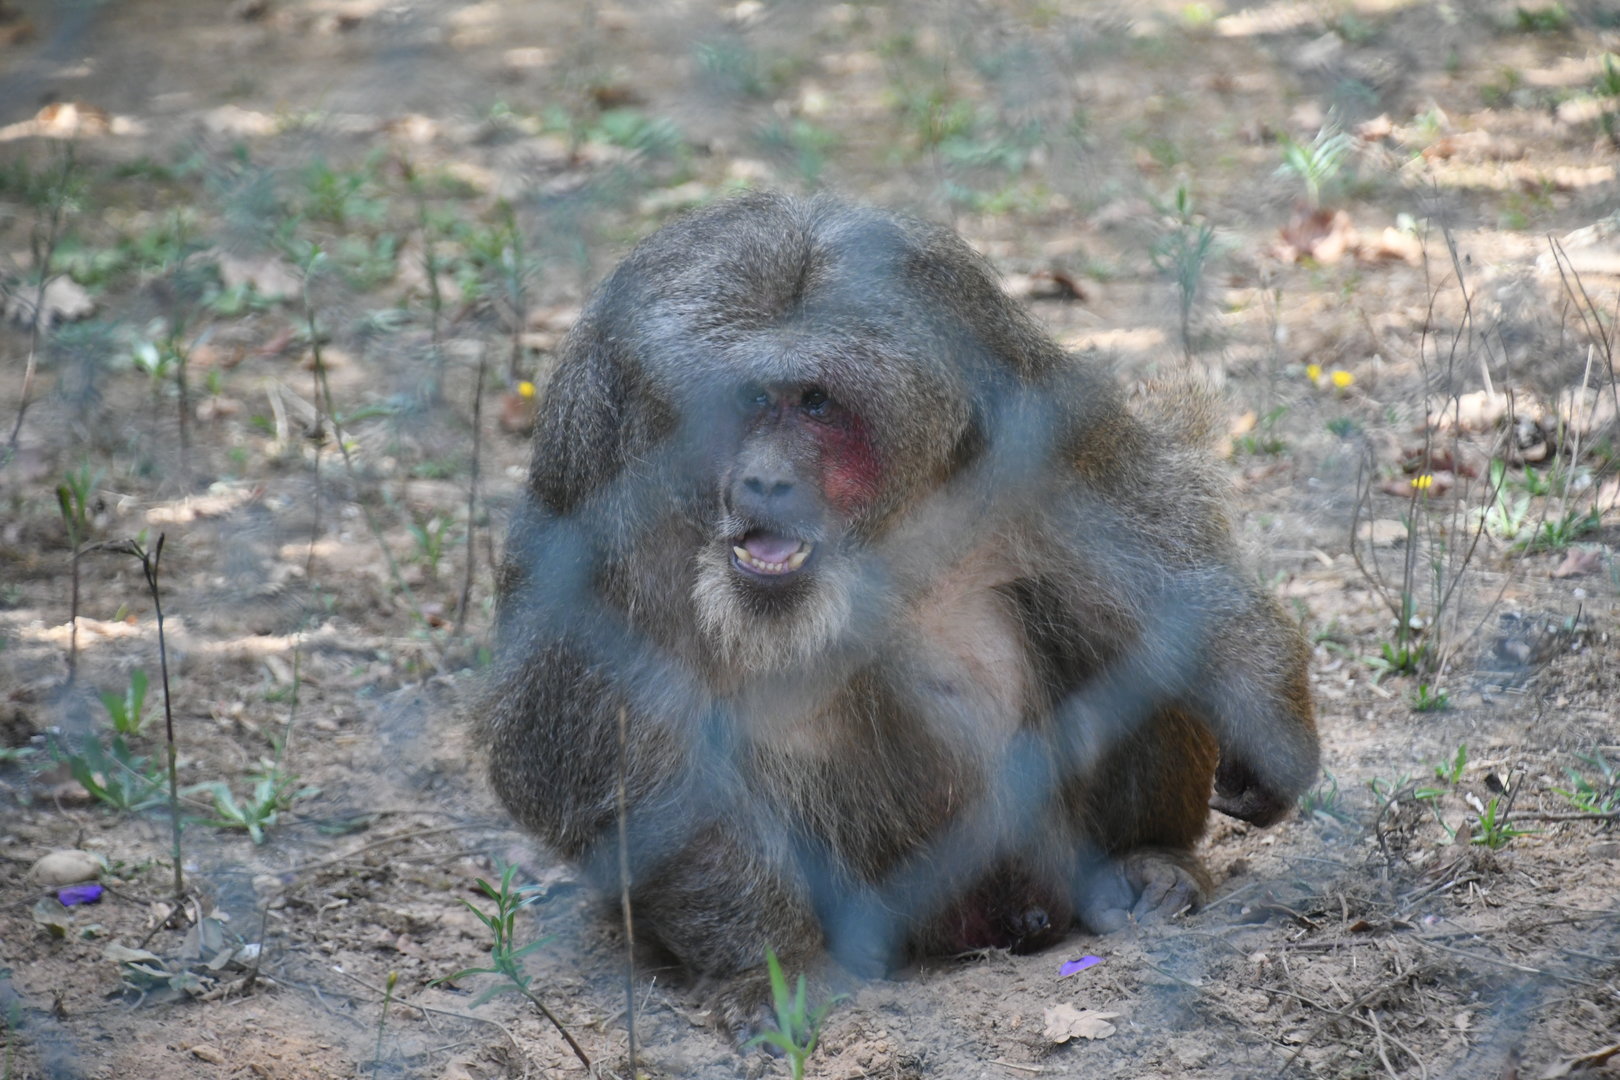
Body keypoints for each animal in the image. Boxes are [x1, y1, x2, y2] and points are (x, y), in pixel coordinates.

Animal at [474, 191, 1318, 1037]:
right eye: (746, 402)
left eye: (815, 402)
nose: (766, 480)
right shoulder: (597, 474)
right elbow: (589, 744)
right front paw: (772, 964)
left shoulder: (1020, 402)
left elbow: (1165, 562)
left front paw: (1269, 716)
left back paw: (1148, 858)